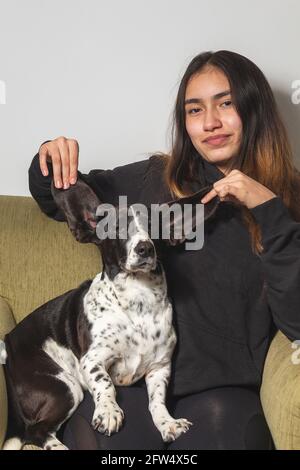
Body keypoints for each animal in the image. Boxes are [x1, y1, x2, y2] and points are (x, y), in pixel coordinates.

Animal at [2, 178, 218, 450]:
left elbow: (157, 400)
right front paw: (108, 411)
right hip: (65, 387)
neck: (138, 302)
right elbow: (105, 383)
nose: (145, 248)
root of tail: (9, 342)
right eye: (117, 227)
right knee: (35, 431)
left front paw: (167, 422)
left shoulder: (159, 368)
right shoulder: (92, 360)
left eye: (155, 226)